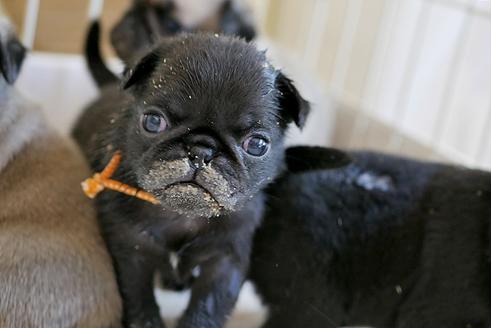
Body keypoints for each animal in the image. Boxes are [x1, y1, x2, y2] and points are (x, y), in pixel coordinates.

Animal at [72, 34, 312, 328]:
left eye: (257, 145)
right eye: (153, 121)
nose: (201, 150)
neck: (183, 215)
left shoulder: (224, 262)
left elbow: (208, 306)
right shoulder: (132, 251)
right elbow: (139, 297)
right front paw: (148, 322)